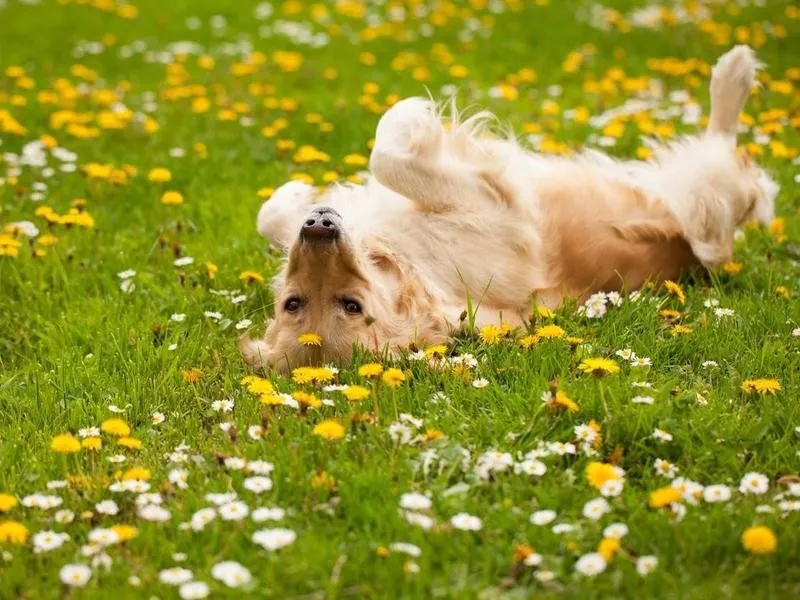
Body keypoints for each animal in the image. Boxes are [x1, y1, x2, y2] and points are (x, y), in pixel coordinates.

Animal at [242, 47, 776, 372]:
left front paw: (295, 192)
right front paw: (411, 116)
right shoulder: (496, 204)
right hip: (705, 197)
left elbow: (273, 214)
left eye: (290, 303)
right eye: (347, 305)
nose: (320, 225)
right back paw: (734, 72)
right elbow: (389, 155)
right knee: (732, 163)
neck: (406, 264)